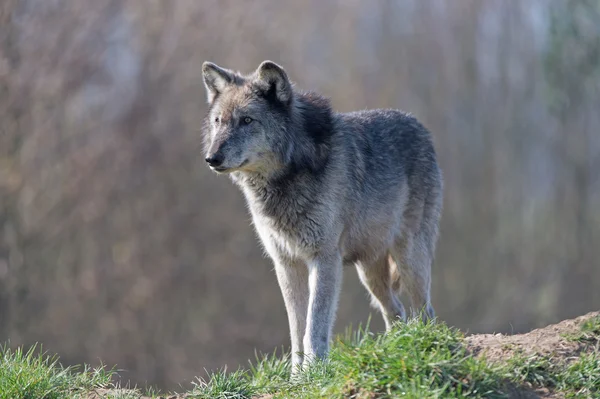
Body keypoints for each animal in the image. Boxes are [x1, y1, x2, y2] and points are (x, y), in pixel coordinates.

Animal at [204, 60, 442, 376]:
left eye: (246, 120)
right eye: (218, 121)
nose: (211, 158)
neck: (287, 177)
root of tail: (420, 127)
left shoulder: (324, 259)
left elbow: (314, 325)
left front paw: (315, 371)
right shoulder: (286, 263)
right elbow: (296, 329)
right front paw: (296, 377)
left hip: (409, 258)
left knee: (424, 311)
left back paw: (421, 349)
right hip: (370, 274)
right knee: (397, 312)